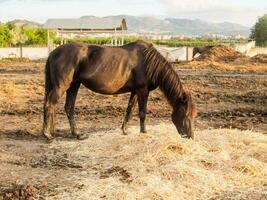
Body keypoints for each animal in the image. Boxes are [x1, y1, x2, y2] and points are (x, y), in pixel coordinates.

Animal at [43, 40, 198, 141]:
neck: (149, 63)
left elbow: (129, 110)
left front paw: (124, 130)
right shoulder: (143, 90)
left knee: (68, 107)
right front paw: (144, 132)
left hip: (74, 85)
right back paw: (47, 134)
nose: (190, 136)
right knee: (49, 104)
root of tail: (53, 53)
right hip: (62, 86)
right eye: (185, 115)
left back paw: (76, 134)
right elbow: (142, 113)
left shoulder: (135, 91)